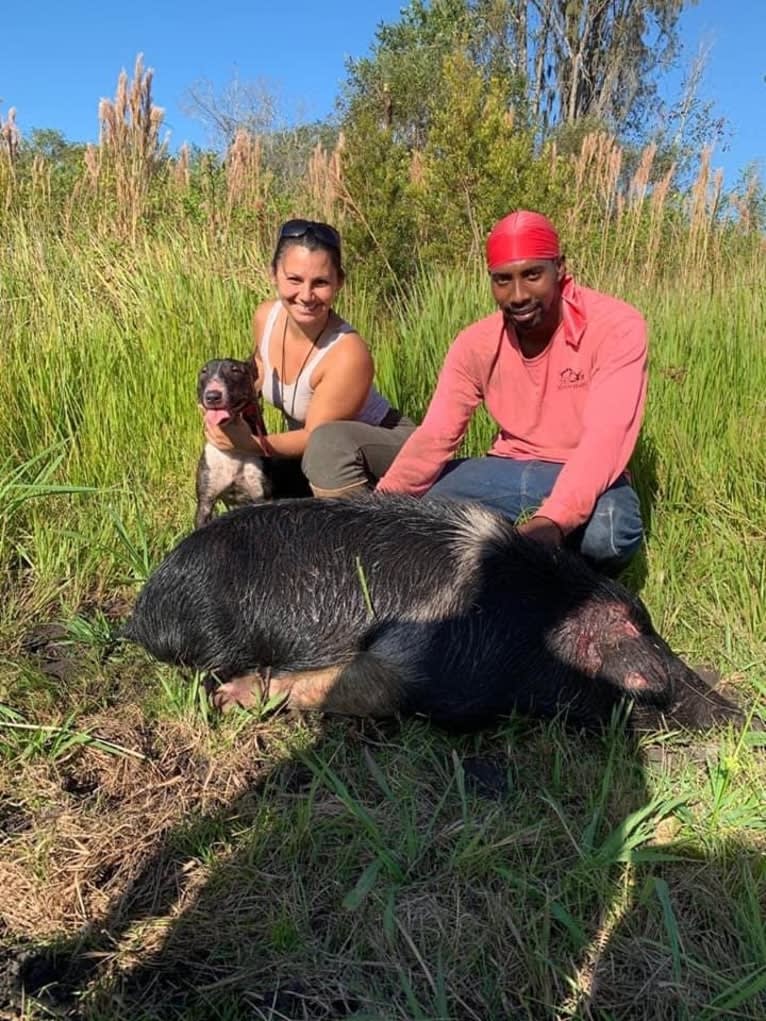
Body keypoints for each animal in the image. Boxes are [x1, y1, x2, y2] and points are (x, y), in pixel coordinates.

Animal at [196, 359, 271, 530]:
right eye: (204, 371)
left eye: (235, 370)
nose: (213, 396)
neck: (232, 450)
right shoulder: (205, 502)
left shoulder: (262, 498)